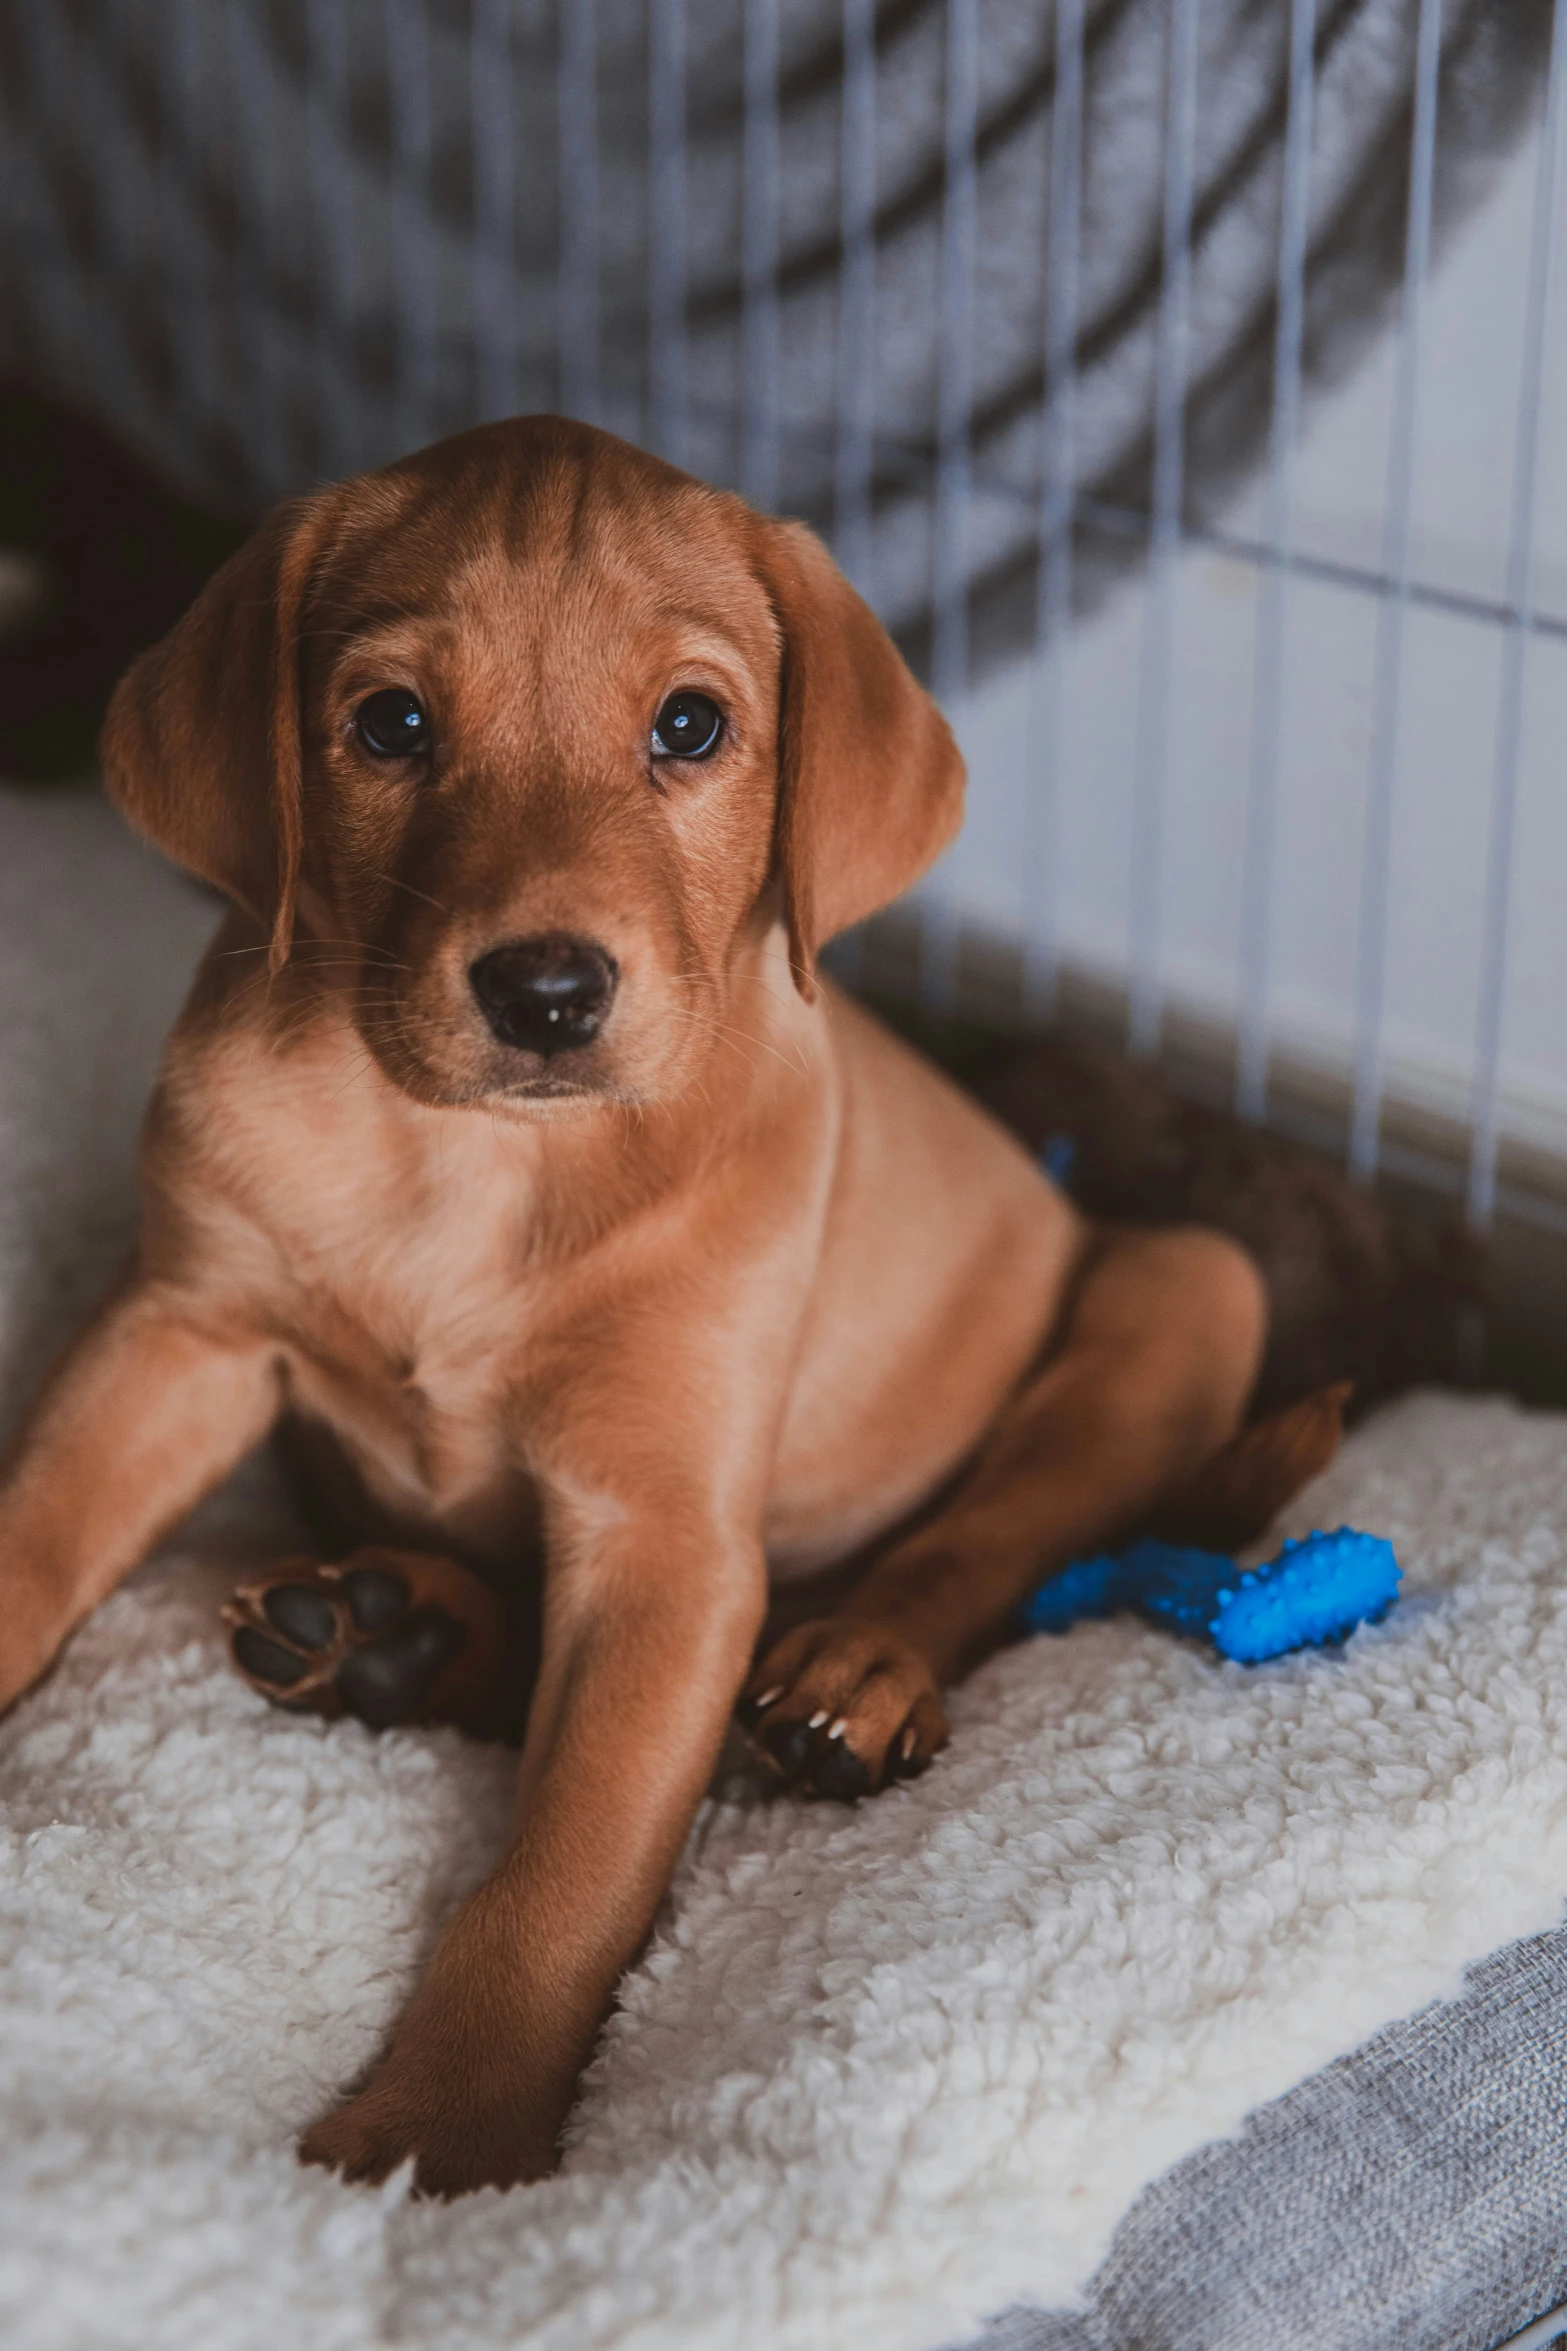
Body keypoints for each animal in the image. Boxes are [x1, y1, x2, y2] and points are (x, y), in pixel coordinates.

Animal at [0, 413, 1334, 2191]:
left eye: (689, 724)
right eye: (392, 722)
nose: (546, 990)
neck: (469, 1160)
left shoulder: (666, 1531)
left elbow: (565, 1868)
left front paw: (437, 2136)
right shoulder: (179, 1329)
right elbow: (31, 1531)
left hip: (1182, 1285)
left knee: (974, 1553)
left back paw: (848, 1671)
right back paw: (388, 1634)